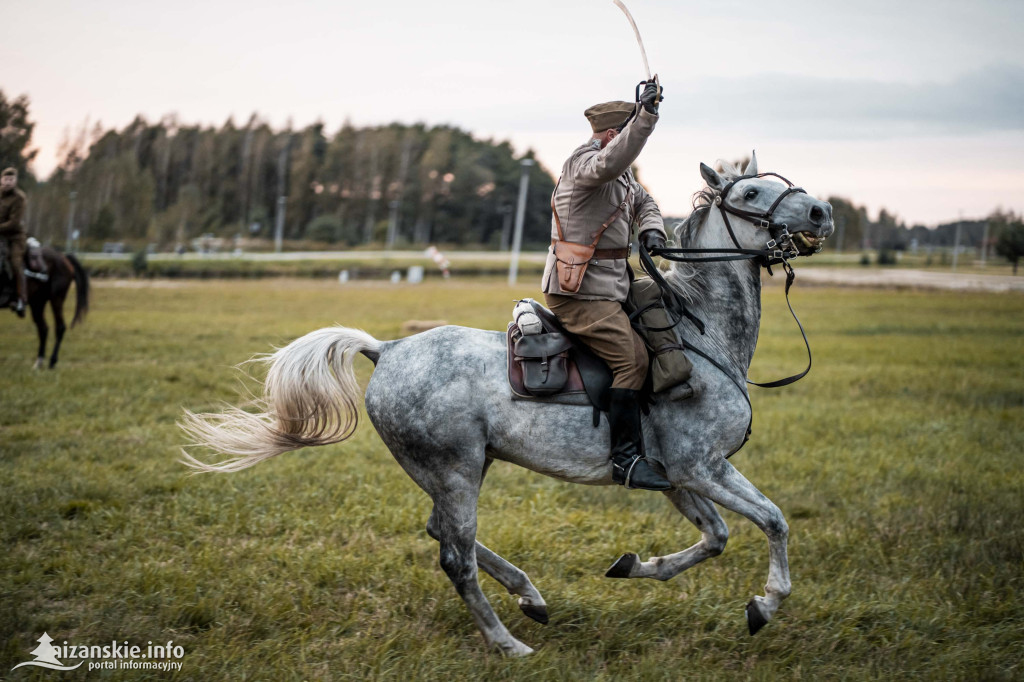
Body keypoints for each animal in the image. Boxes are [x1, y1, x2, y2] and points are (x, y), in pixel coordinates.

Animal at [184, 153, 835, 655]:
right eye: (750, 192)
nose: (821, 211)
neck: (701, 334)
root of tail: (386, 349)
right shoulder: (699, 467)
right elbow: (771, 520)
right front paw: (766, 603)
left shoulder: (683, 476)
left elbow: (718, 535)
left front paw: (638, 567)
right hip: (455, 469)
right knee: (455, 557)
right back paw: (507, 641)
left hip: (460, 468)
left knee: (444, 533)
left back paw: (530, 596)